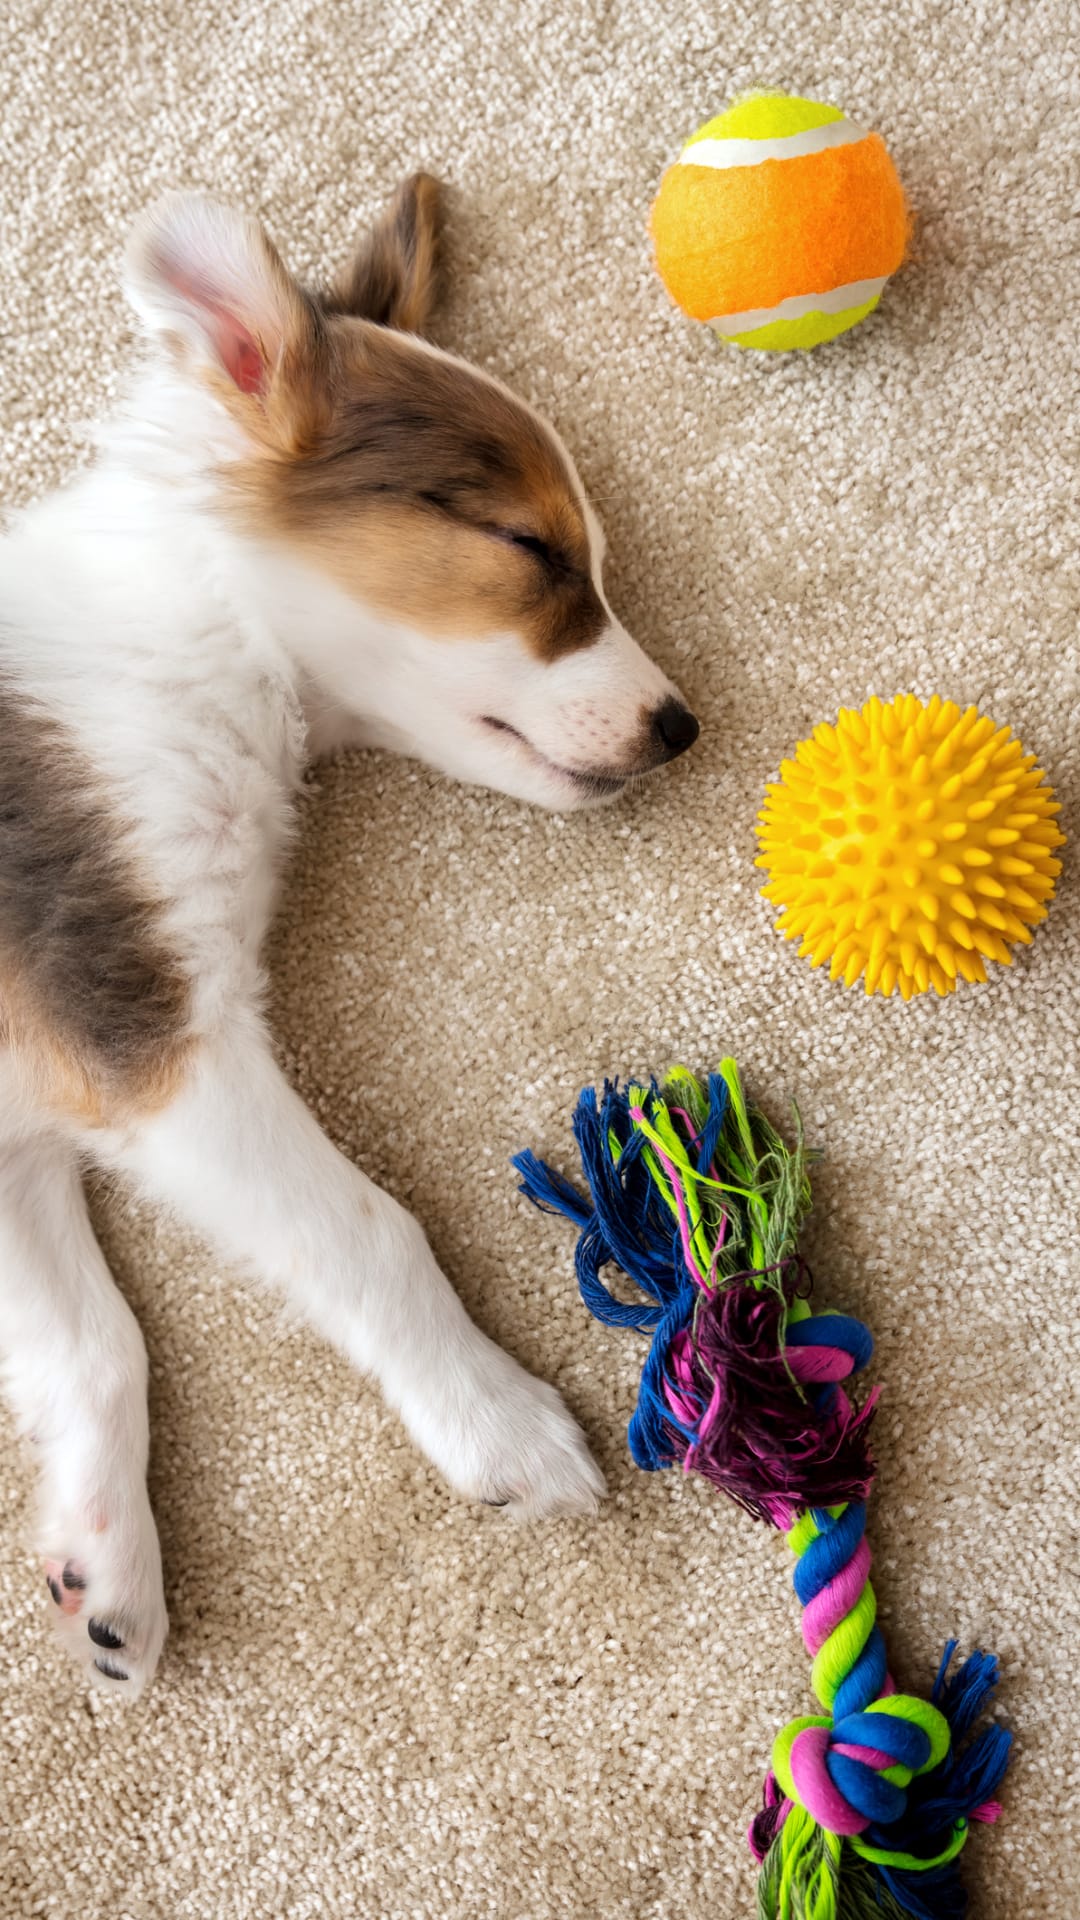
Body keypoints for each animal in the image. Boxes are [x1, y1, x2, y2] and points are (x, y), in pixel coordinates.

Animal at [0, 172, 699, 1689]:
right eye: (527, 547)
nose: (682, 726)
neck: (197, 635)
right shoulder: (153, 1029)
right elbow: (368, 1229)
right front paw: (497, 1422)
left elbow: (93, 1340)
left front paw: (109, 1568)